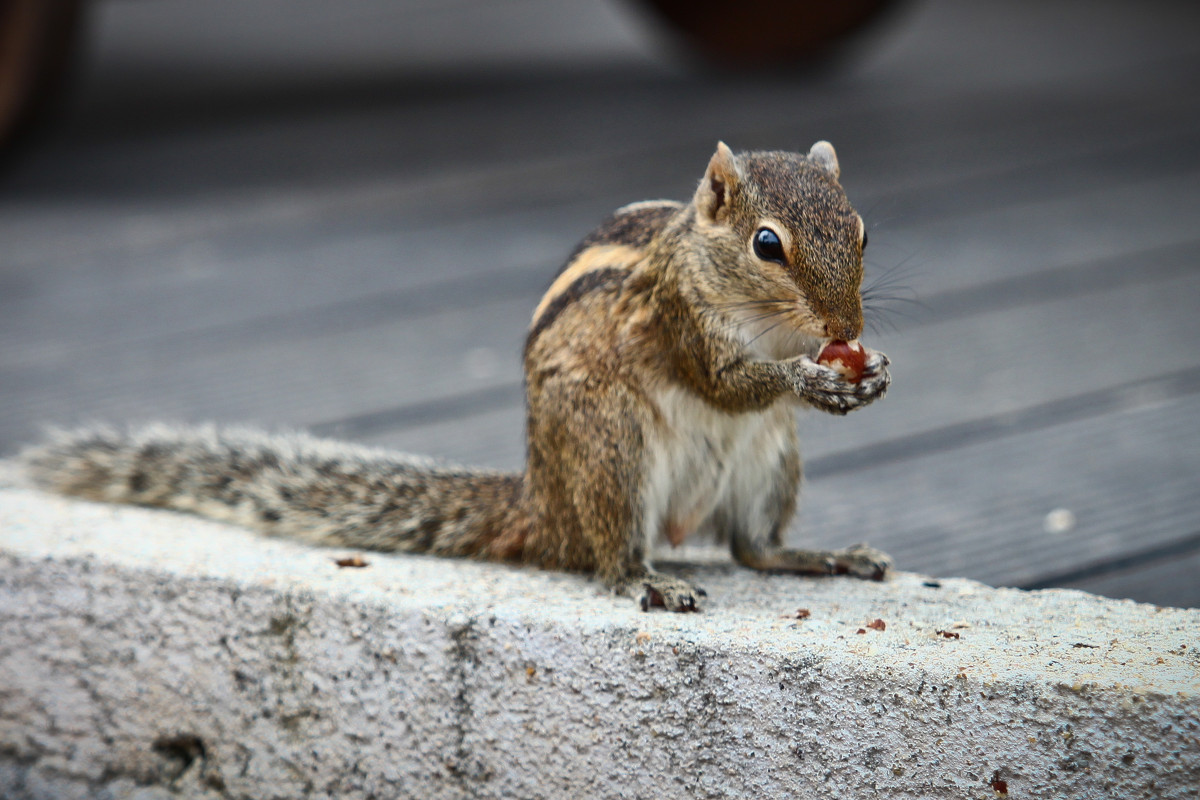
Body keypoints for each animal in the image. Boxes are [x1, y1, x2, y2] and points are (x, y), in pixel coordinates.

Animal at [21, 140, 892, 614]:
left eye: (861, 232)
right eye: (767, 245)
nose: (844, 328)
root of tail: (544, 504)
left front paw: (871, 369)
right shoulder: (678, 318)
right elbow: (724, 380)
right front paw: (812, 378)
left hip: (768, 461)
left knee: (754, 548)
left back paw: (825, 557)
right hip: (611, 449)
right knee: (609, 556)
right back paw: (648, 579)